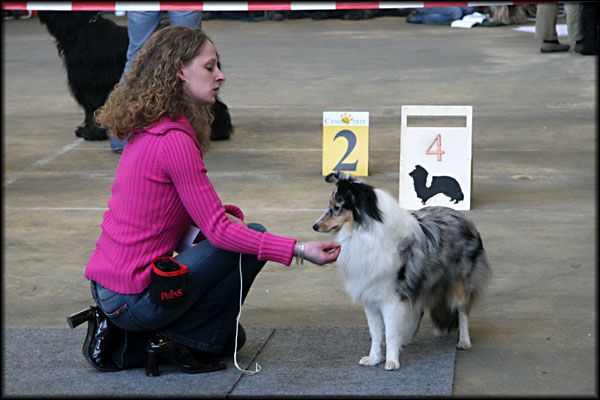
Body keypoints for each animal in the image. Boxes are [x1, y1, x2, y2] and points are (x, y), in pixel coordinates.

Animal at [38, 11, 232, 141]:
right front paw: (86, 130)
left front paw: (92, 133)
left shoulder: (92, 85)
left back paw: (218, 133)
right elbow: (89, 111)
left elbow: (93, 109)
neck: (81, 27)